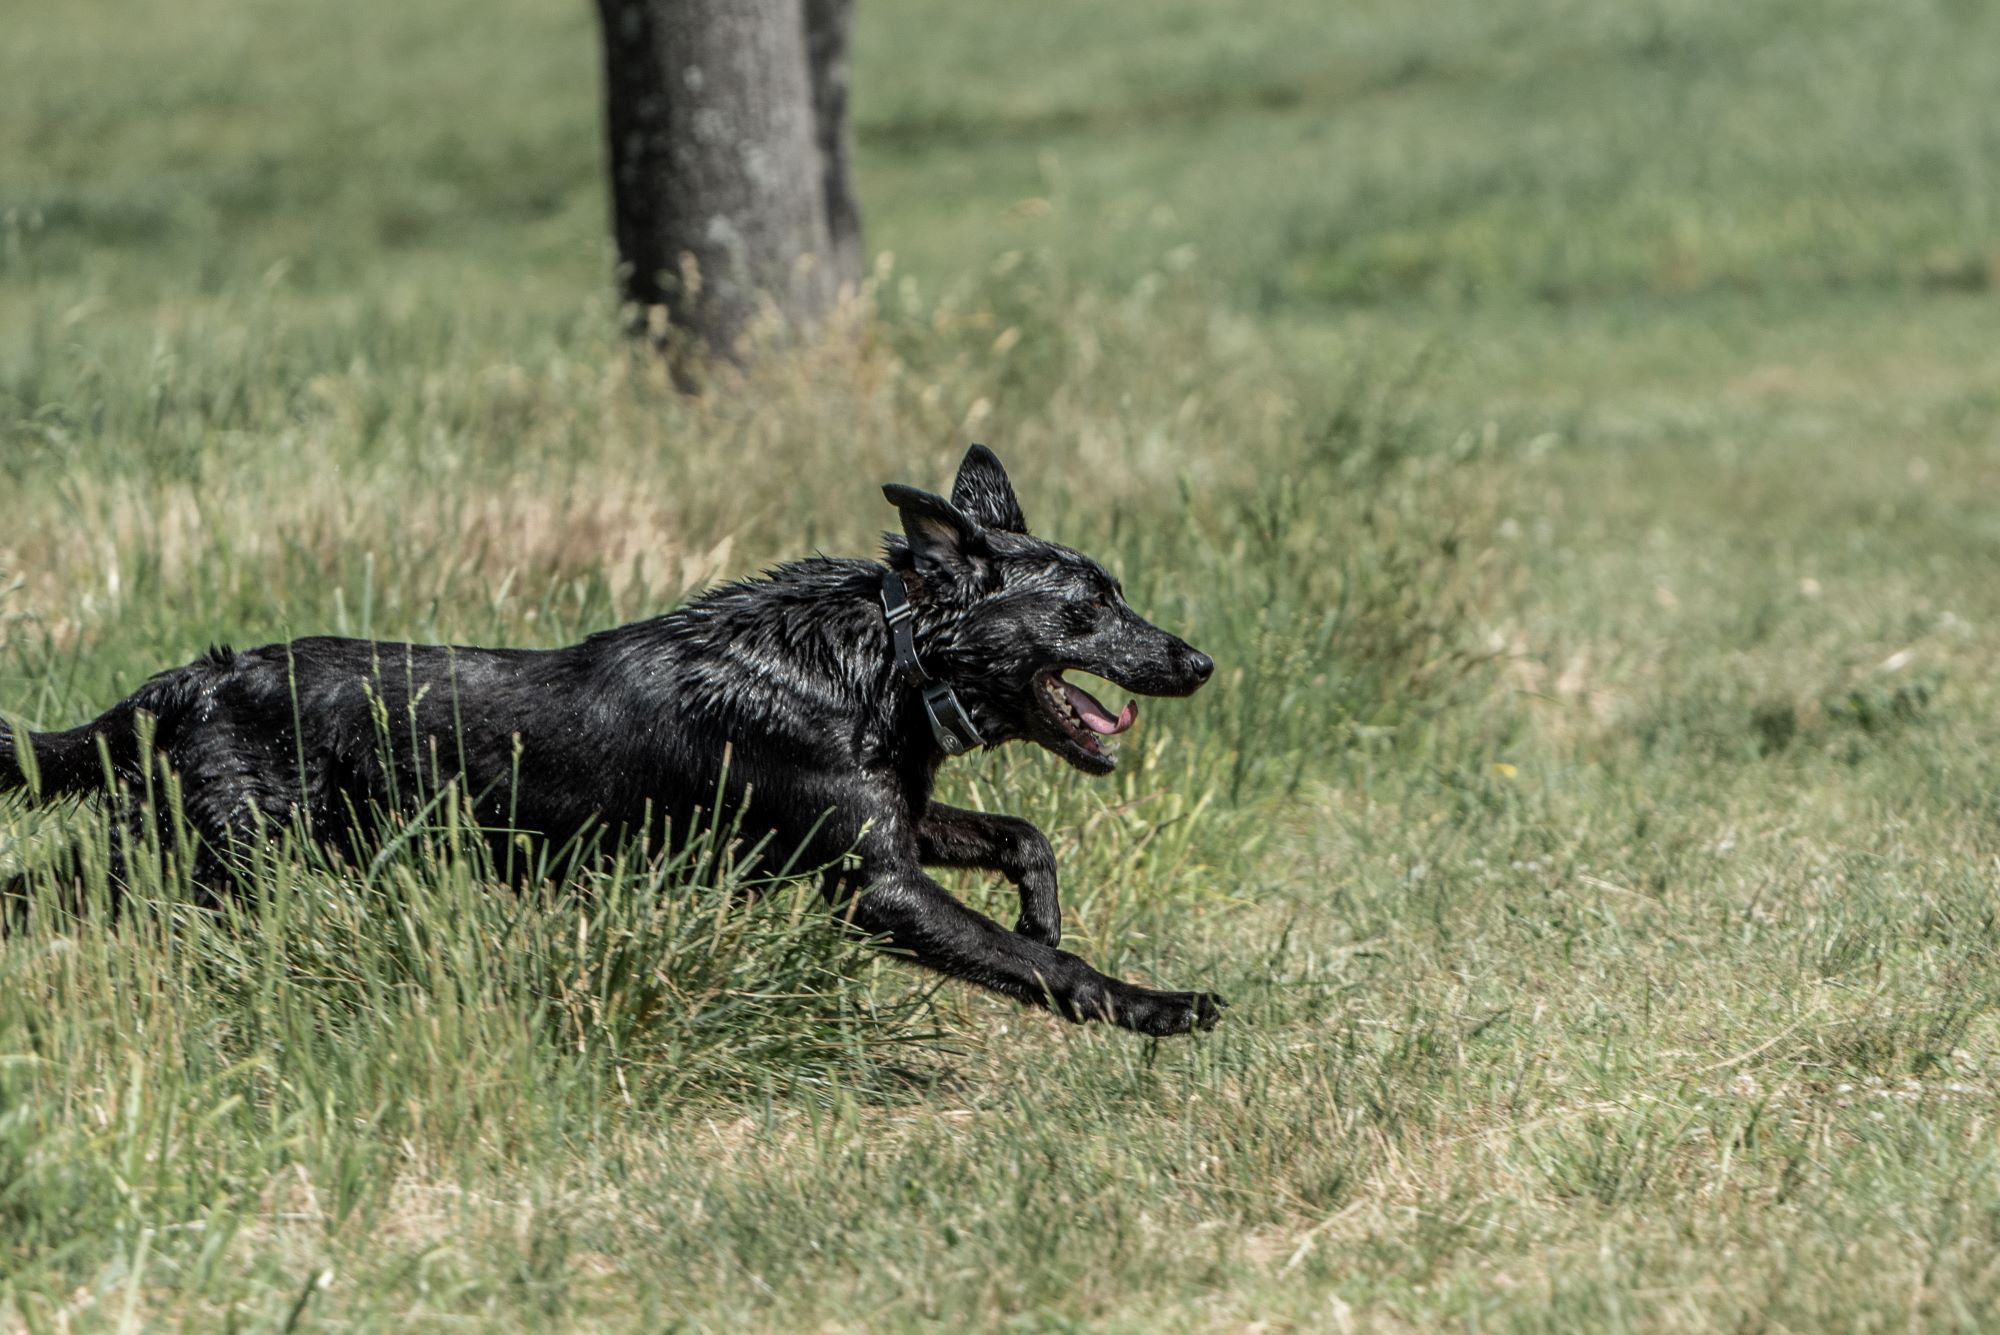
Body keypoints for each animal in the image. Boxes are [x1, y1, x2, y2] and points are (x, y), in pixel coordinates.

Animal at [0, 443, 1224, 1039]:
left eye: (1116, 594)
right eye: (1088, 609)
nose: (1201, 662)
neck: (875, 662)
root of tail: (188, 682)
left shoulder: (894, 825)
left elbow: (1024, 837)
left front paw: (1044, 909)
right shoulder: (875, 884)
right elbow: (1037, 968)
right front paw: (1157, 1009)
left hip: (174, 855)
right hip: (205, 861)